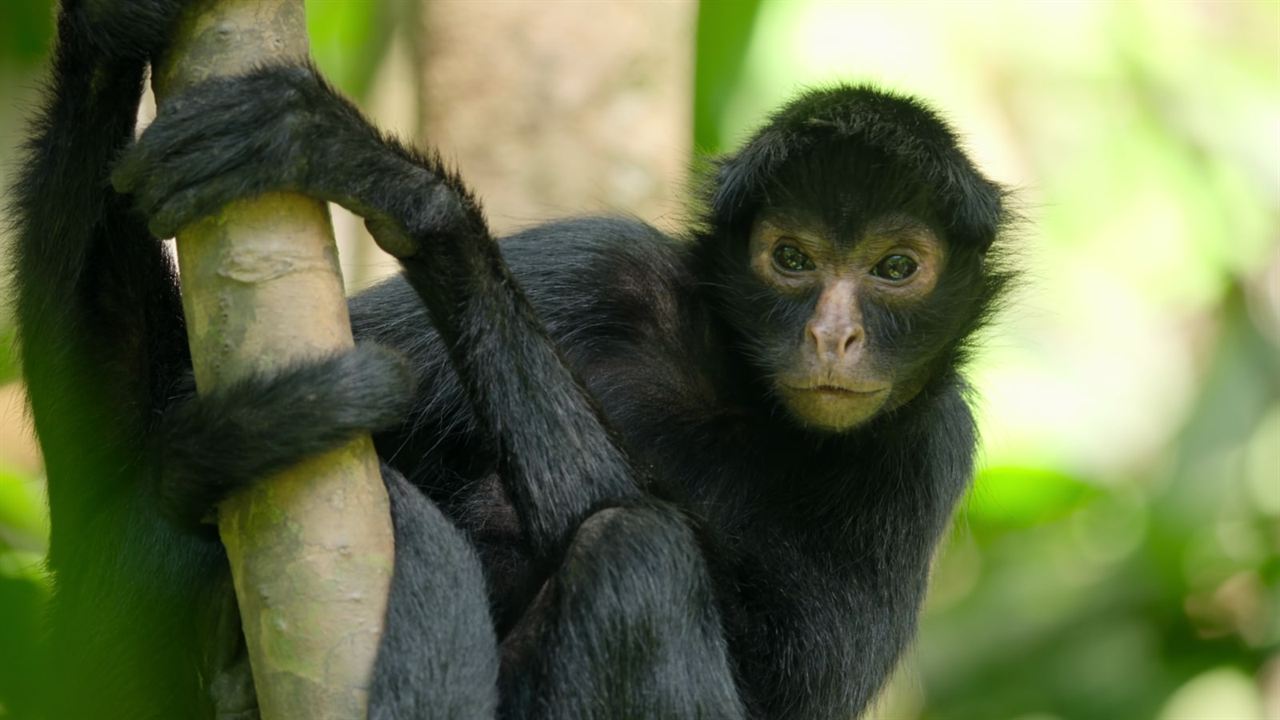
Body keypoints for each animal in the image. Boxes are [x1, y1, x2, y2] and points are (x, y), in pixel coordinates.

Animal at [7, 1, 1008, 717]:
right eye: (792, 258)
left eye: (895, 269)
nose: (833, 336)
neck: (739, 396)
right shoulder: (600, 264)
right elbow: (122, 464)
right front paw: (111, 28)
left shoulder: (930, 449)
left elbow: (779, 684)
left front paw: (415, 196)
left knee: (636, 552)